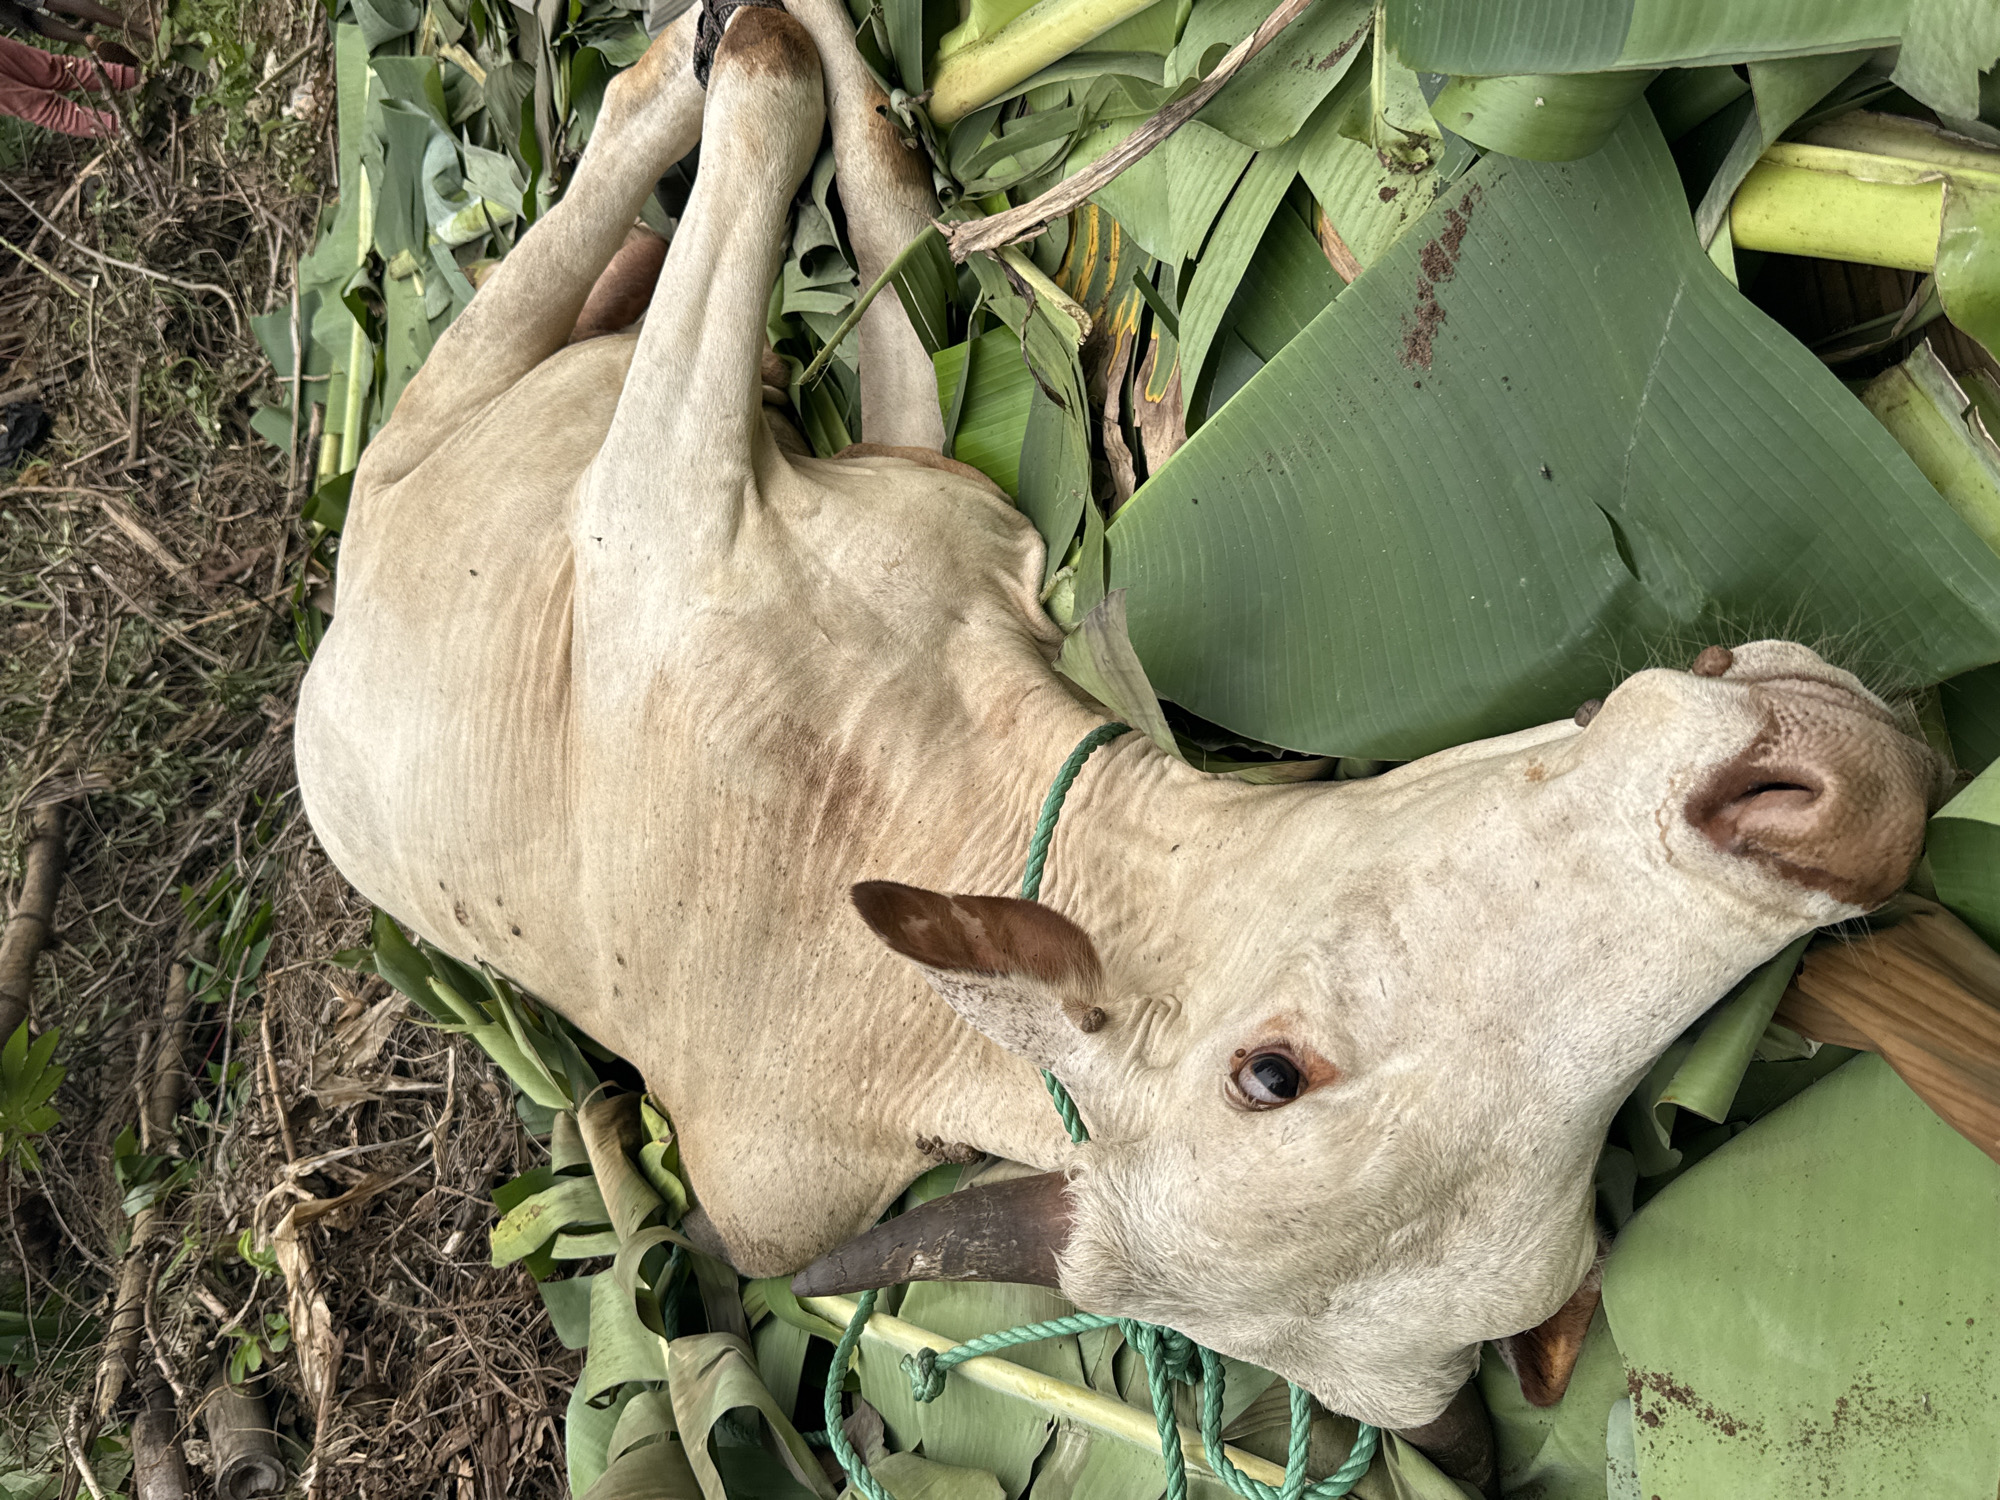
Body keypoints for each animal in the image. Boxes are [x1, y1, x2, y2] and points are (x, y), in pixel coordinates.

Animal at [292, 0, 1942, 1456]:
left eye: (1570, 1225)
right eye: (1272, 1073)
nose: (1844, 807)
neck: (873, 797)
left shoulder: (897, 502)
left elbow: (850, 198)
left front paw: (823, 67)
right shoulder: (657, 518)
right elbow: (768, 106)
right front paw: (762, 44)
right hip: (421, 449)